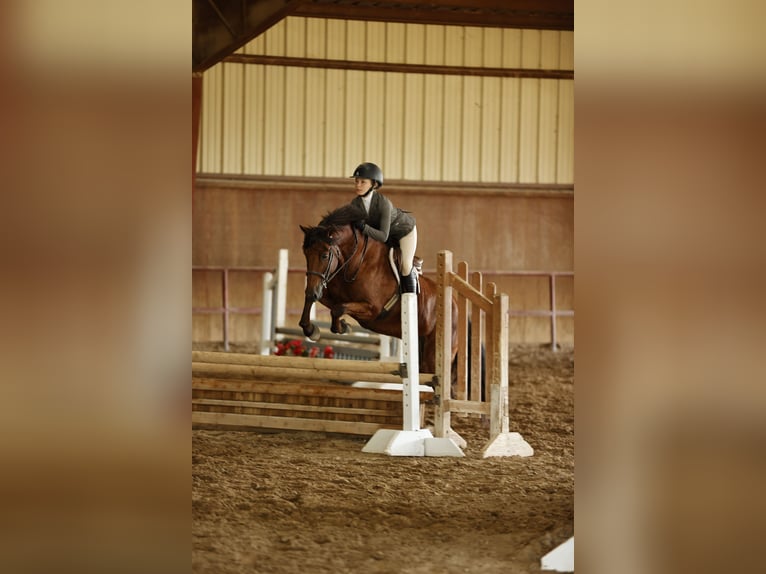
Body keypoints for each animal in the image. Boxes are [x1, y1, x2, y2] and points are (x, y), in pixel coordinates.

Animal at [298, 204, 457, 375]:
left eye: (325, 256)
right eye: (306, 254)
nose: (314, 291)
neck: (355, 263)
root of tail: (454, 304)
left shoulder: (373, 309)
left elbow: (338, 309)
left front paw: (344, 327)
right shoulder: (329, 294)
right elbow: (313, 300)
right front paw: (311, 330)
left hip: (432, 357)